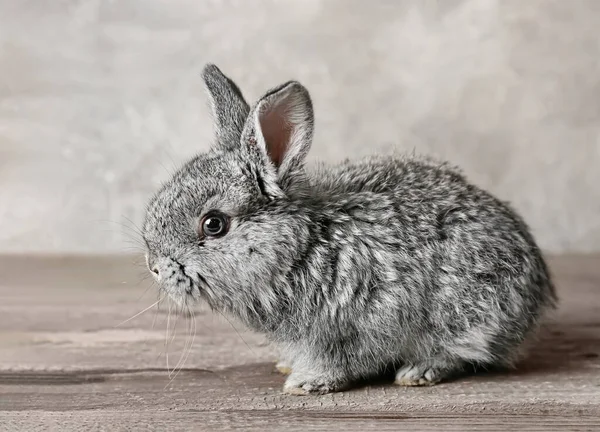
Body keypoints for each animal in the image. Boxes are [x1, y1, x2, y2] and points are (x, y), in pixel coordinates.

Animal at [144, 63, 556, 394]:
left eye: (214, 224)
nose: (154, 266)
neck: (302, 250)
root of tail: (539, 289)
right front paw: (289, 367)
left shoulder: (351, 327)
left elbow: (340, 361)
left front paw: (306, 383)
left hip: (469, 314)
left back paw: (418, 372)